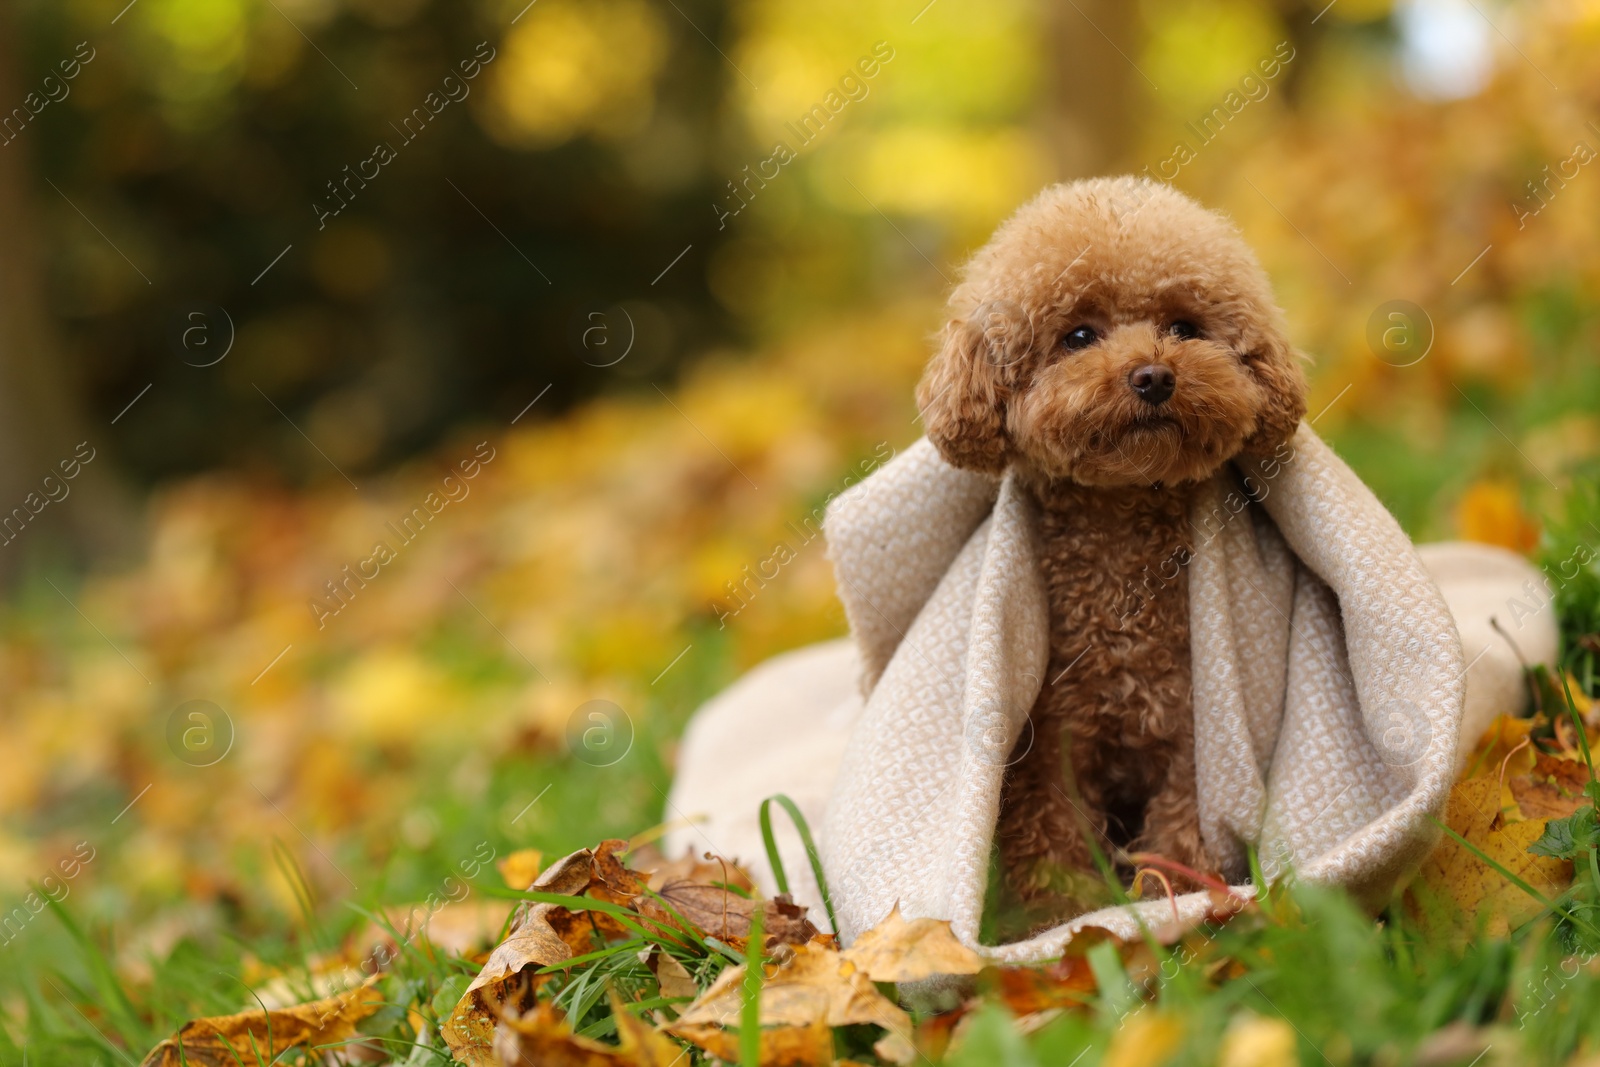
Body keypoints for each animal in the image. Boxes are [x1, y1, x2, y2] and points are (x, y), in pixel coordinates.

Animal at [921, 175, 1305, 927]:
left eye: (1185, 327)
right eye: (1077, 335)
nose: (1154, 375)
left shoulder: (1191, 730)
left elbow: (1183, 824)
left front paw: (1171, 898)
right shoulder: (1048, 750)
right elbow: (1051, 838)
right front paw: (1062, 919)